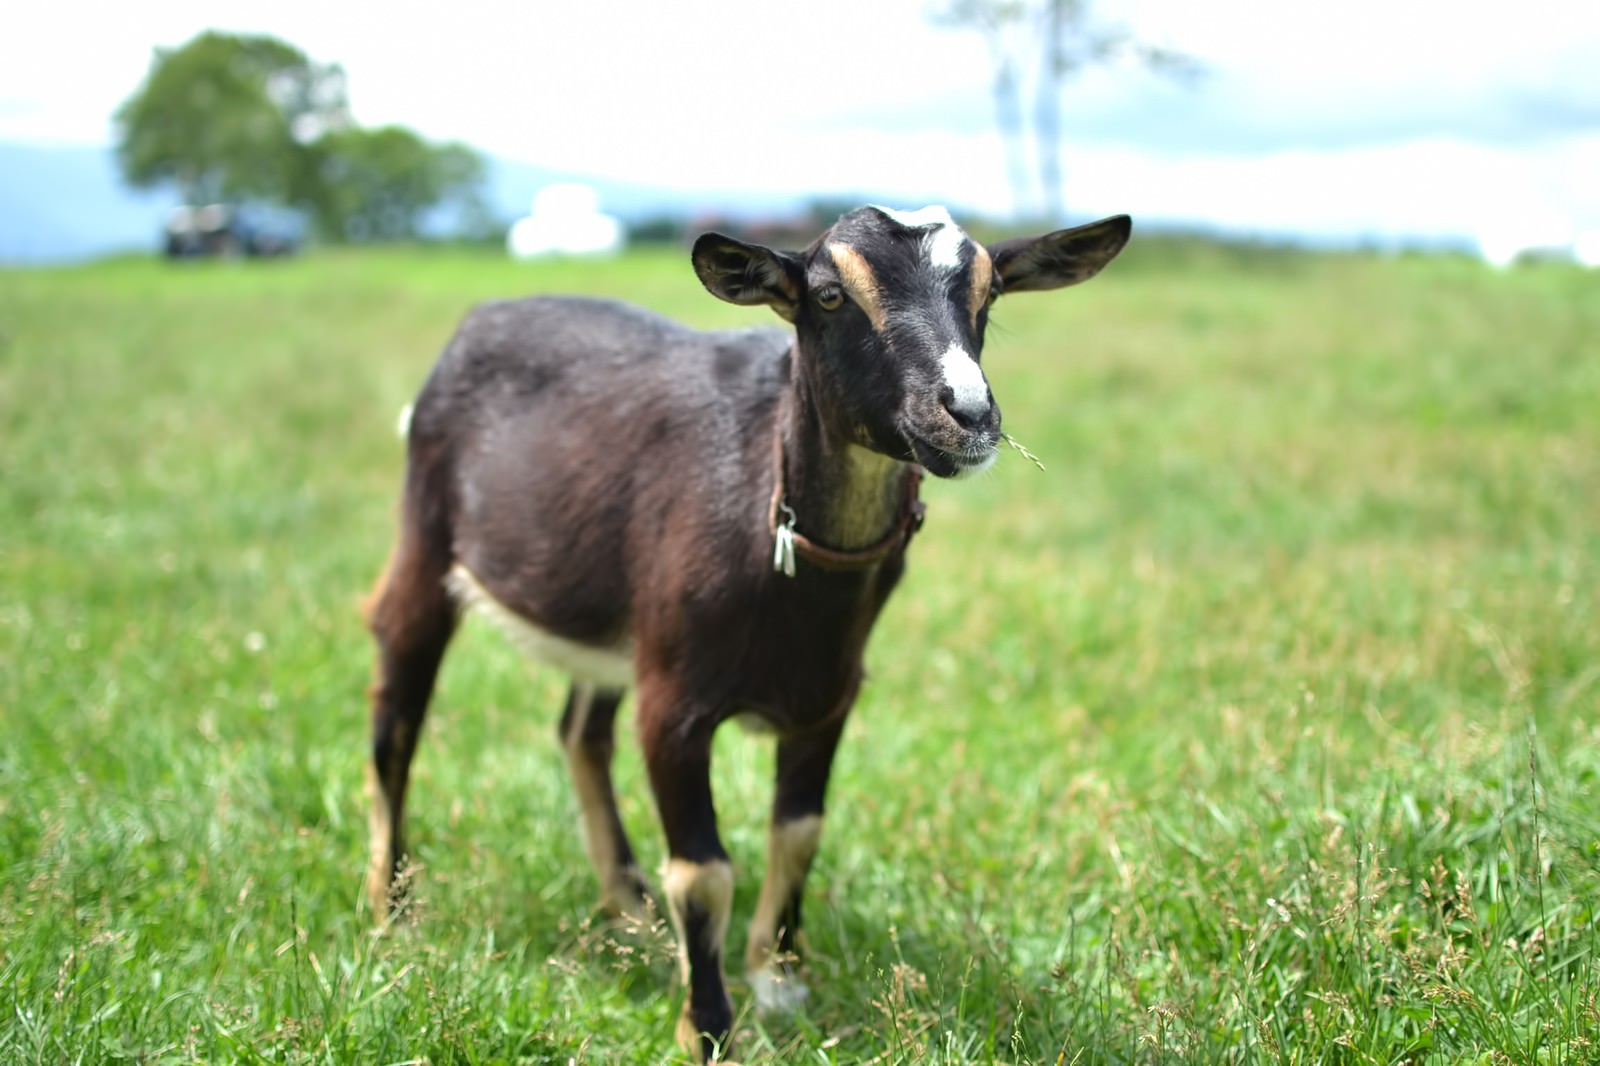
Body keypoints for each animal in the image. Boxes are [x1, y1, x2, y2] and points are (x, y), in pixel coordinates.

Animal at [366, 203, 1126, 1056]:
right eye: (829, 295)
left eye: (989, 294)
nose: (967, 415)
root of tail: (477, 323)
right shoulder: (674, 705)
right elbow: (703, 873)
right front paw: (709, 1031)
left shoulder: (829, 694)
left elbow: (799, 831)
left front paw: (780, 979)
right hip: (427, 539)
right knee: (397, 714)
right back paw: (393, 909)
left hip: (617, 621)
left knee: (579, 730)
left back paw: (629, 910)